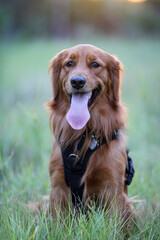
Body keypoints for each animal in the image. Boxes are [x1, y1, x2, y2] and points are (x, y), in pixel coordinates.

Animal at [47, 44, 134, 222]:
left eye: (95, 64)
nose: (77, 81)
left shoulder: (111, 188)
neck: (84, 135)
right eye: (69, 63)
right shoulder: (58, 186)